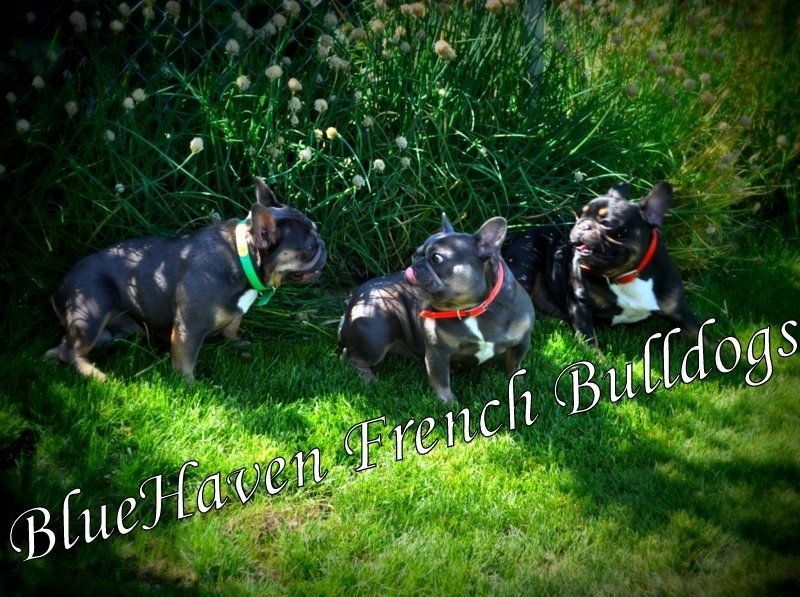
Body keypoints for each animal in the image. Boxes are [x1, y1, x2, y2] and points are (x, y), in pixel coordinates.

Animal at [45, 178, 326, 381]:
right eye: (310, 247)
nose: (323, 245)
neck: (241, 257)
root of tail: (59, 289)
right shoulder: (188, 328)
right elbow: (186, 359)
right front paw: (189, 384)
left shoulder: (233, 315)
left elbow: (232, 326)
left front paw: (237, 342)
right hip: (92, 309)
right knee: (72, 351)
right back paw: (94, 374)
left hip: (119, 328)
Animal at [338, 214, 535, 402]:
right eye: (415, 254)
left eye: (436, 258)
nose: (416, 263)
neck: (472, 308)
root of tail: (352, 302)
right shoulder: (438, 353)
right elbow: (440, 380)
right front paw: (448, 402)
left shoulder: (522, 341)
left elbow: (514, 365)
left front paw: (517, 383)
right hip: (375, 336)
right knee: (352, 358)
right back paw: (370, 380)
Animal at [503, 182, 705, 348]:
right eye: (580, 215)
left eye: (607, 223)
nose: (582, 225)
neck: (627, 275)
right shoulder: (580, 305)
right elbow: (589, 340)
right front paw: (599, 362)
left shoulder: (679, 311)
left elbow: (701, 334)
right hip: (525, 265)